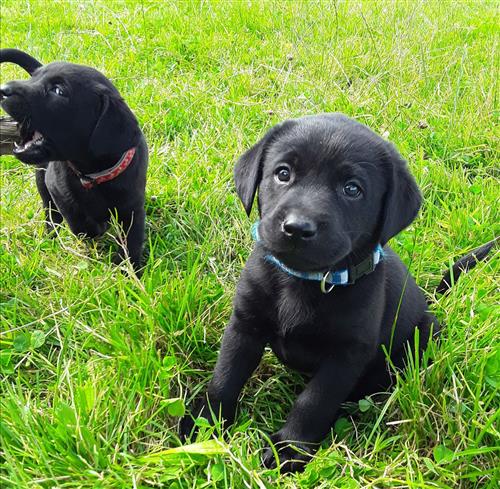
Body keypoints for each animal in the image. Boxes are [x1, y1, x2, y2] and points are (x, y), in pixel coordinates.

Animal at [0, 48, 147, 270]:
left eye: (58, 91)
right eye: (34, 78)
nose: (3, 89)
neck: (92, 175)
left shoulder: (133, 206)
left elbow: (133, 239)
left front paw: (130, 269)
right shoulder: (56, 188)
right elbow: (78, 221)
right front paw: (96, 228)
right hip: (41, 180)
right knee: (50, 213)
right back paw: (51, 235)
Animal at [182, 112, 448, 470]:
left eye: (352, 189)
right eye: (283, 173)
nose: (296, 227)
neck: (304, 281)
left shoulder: (345, 356)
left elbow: (313, 402)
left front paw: (289, 450)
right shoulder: (244, 325)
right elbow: (226, 375)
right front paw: (205, 424)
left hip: (425, 332)